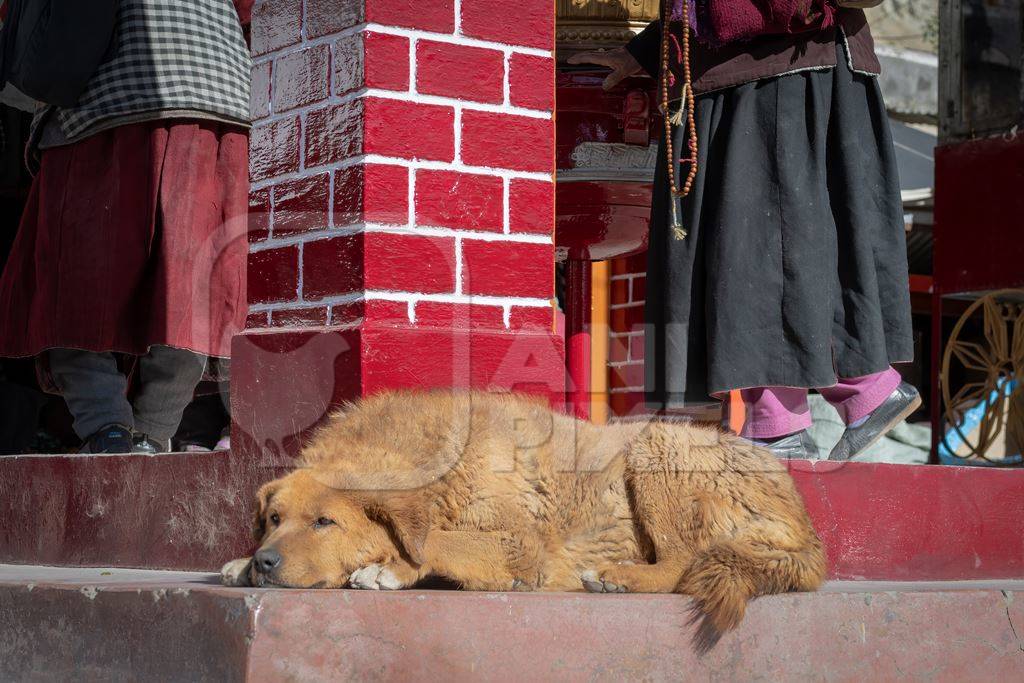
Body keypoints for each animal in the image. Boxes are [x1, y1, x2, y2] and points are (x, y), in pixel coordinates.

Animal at [222, 389, 823, 643]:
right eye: (273, 519)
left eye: (325, 523)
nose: (266, 563)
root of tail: (806, 529)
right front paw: (236, 563)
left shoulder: (523, 549)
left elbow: (438, 539)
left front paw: (390, 566)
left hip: (659, 446)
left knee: (682, 561)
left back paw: (619, 576)